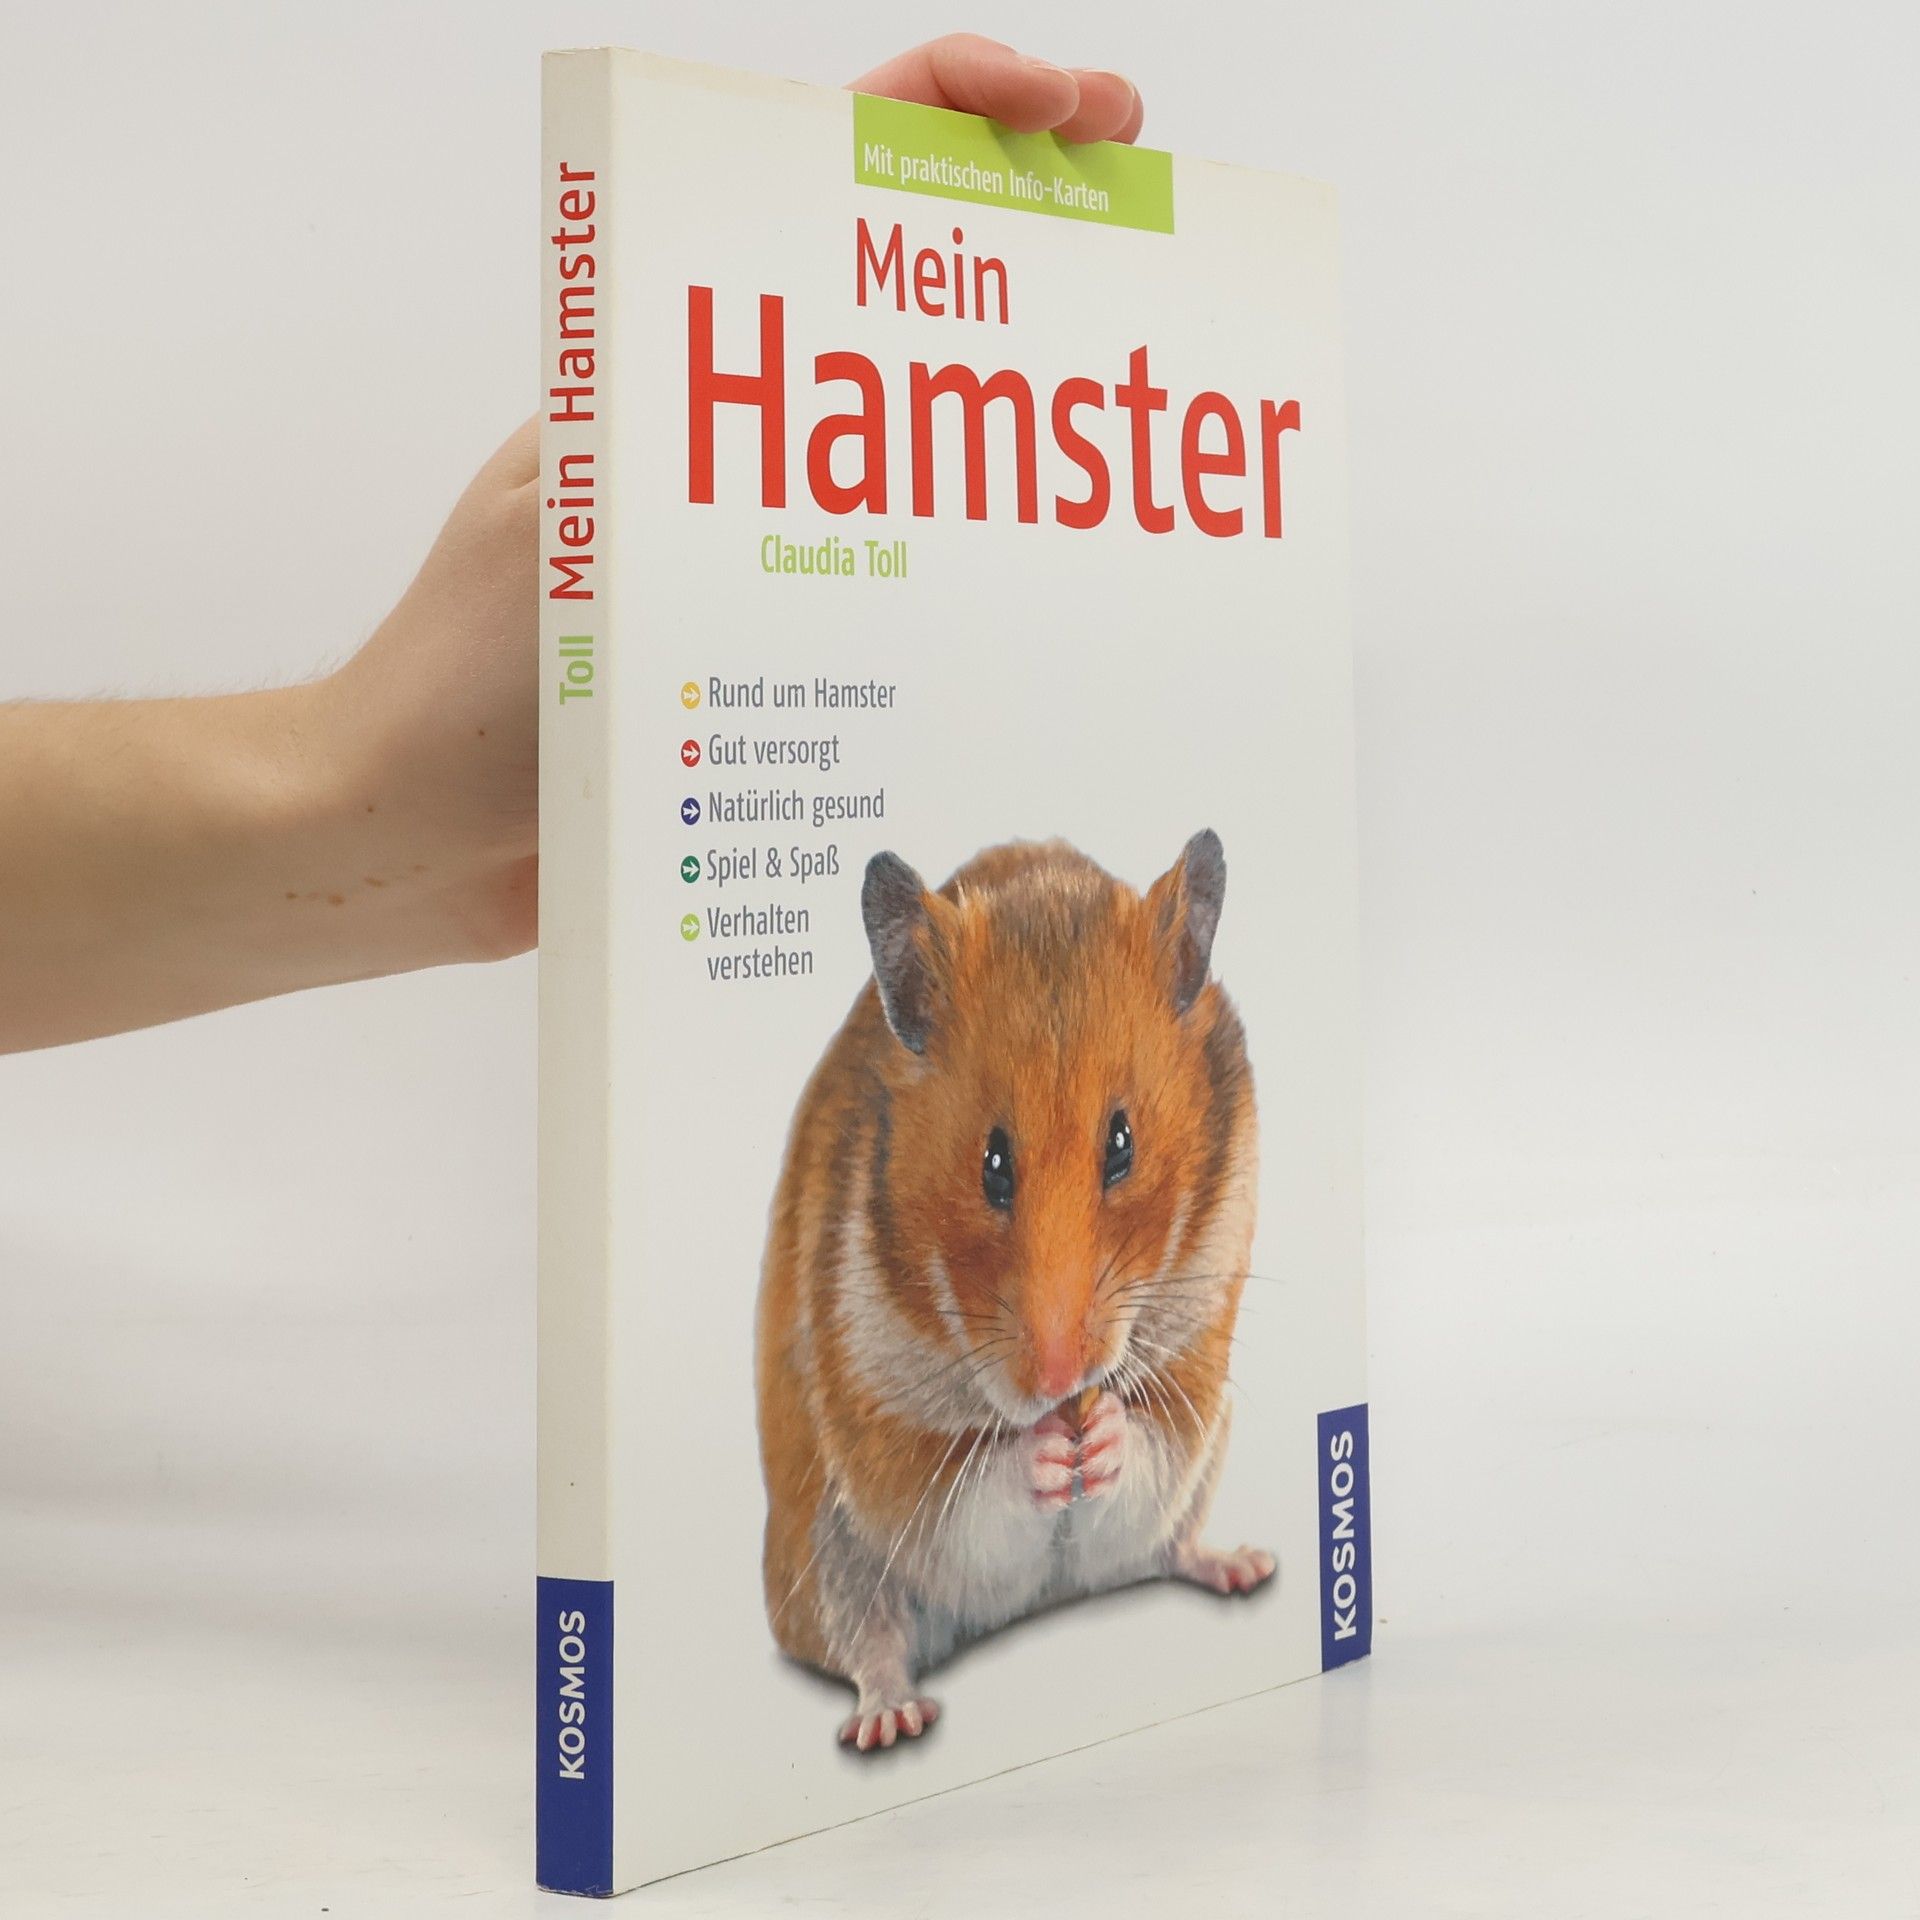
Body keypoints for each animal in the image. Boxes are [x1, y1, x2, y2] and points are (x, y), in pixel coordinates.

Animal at [755, 832, 1270, 1752]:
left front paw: (1100, 1435)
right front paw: (1045, 1453)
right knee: (867, 1639)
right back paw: (890, 1721)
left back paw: (1246, 1566)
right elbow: (968, 1495)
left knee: (1165, 1548)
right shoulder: (886, 1443)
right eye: (992, 1163)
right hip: (822, 1547)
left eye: (1122, 1143)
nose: (1061, 1379)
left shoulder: (1195, 1360)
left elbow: (1150, 1448)